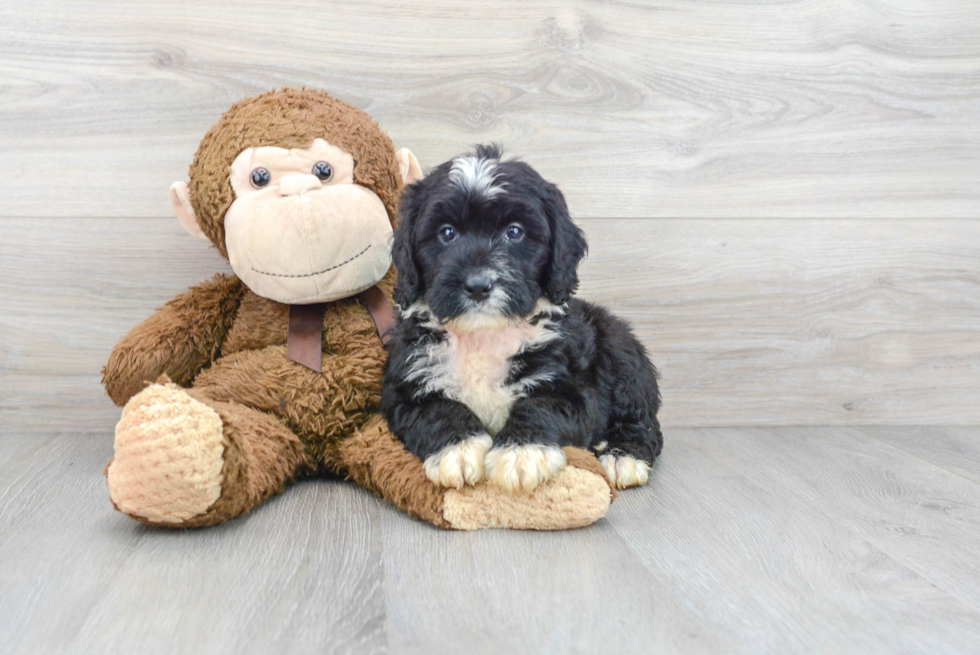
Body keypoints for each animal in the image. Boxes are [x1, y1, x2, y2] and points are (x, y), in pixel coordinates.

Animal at [378, 145, 664, 492]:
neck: (484, 335)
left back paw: (623, 456)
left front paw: (521, 454)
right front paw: (459, 450)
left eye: (514, 232)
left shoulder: (568, 385)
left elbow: (540, 407)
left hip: (620, 350)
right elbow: (438, 410)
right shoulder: (406, 385)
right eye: (447, 233)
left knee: (644, 422)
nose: (478, 284)